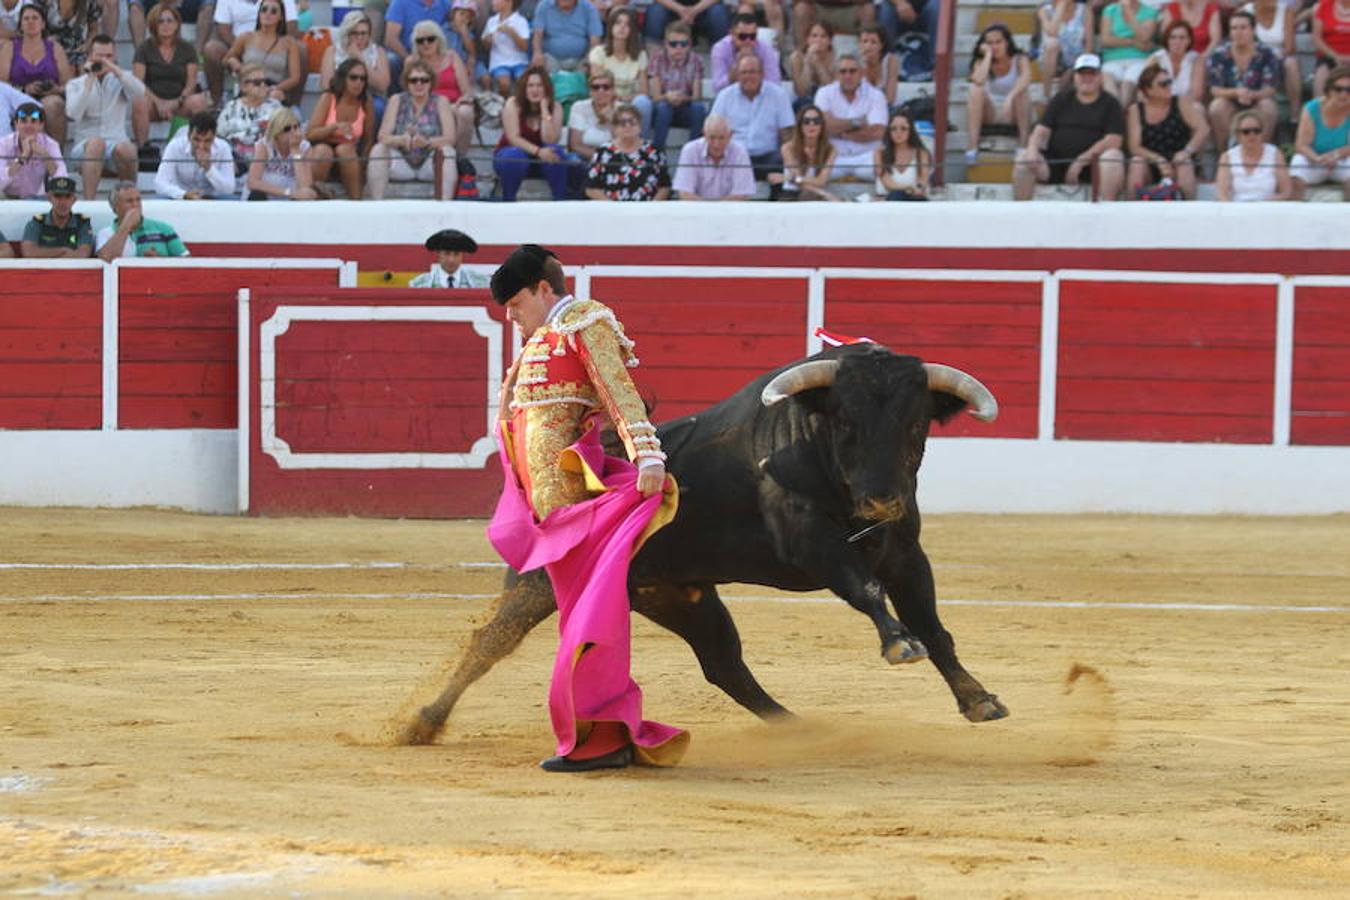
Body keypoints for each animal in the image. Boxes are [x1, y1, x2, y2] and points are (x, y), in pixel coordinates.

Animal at [405, 345, 1009, 744]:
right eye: (843, 420)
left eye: (916, 425)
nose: (881, 500)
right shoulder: (813, 544)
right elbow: (866, 591)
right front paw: (899, 644)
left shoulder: (905, 554)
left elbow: (934, 625)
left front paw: (978, 699)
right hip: (538, 585)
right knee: (491, 640)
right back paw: (421, 723)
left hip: (680, 597)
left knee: (724, 664)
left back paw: (796, 727)